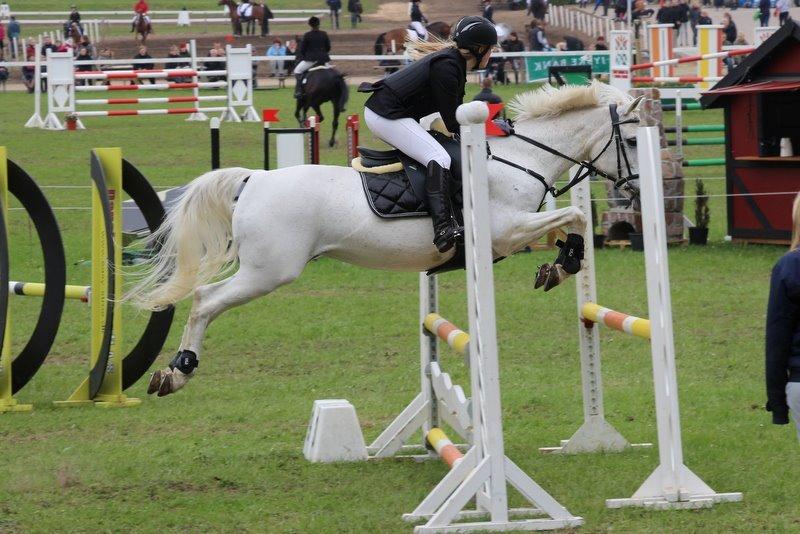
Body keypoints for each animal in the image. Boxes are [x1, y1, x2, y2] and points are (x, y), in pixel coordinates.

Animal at [126, 82, 643, 396]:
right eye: (635, 142)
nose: (636, 190)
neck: (519, 157)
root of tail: (255, 179)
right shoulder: (502, 232)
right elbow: (575, 213)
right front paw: (565, 262)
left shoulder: (515, 230)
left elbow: (569, 221)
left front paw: (559, 264)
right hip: (269, 271)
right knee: (205, 300)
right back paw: (177, 371)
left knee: (204, 298)